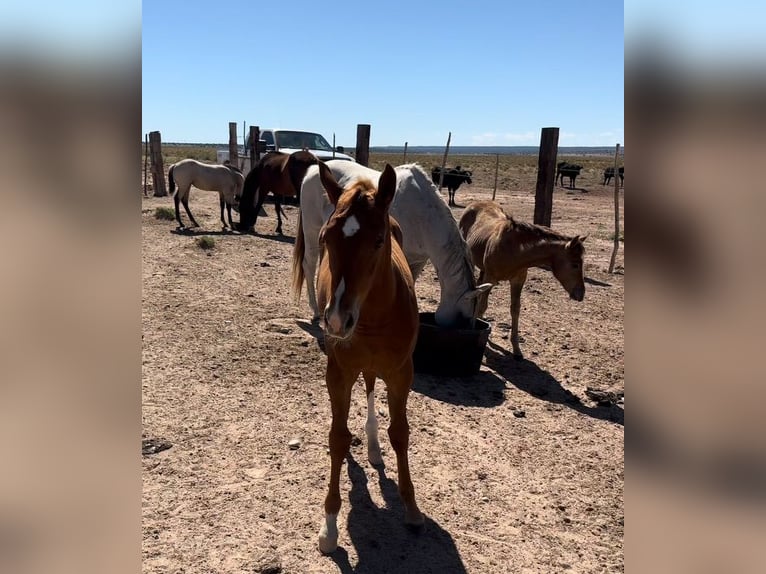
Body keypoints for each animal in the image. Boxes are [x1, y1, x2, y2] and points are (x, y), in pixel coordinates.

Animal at [308, 162, 424, 560]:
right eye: (326, 238)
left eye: (377, 240)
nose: (336, 320)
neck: (372, 315)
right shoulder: (338, 373)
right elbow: (337, 437)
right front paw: (329, 527)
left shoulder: (402, 373)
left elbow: (400, 433)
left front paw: (411, 508)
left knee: (373, 390)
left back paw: (374, 449)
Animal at [460, 200, 592, 358]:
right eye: (575, 264)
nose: (580, 294)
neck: (514, 251)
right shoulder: (491, 278)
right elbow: (482, 305)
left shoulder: (518, 280)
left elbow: (515, 310)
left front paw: (517, 349)